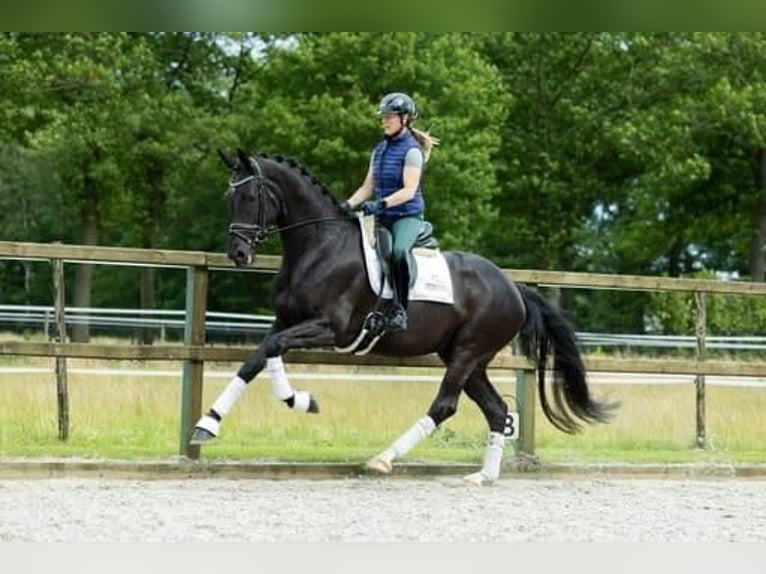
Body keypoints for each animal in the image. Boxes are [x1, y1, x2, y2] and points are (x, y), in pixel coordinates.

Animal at [192, 150, 616, 486]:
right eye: (230, 197)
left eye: (250, 196)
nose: (238, 253)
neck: (319, 247)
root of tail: (514, 288)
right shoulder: (285, 320)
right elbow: (259, 356)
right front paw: (210, 424)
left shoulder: (330, 327)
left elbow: (272, 349)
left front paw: (298, 400)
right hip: (467, 358)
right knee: (496, 410)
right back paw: (483, 476)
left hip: (468, 352)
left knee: (444, 406)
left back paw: (383, 459)